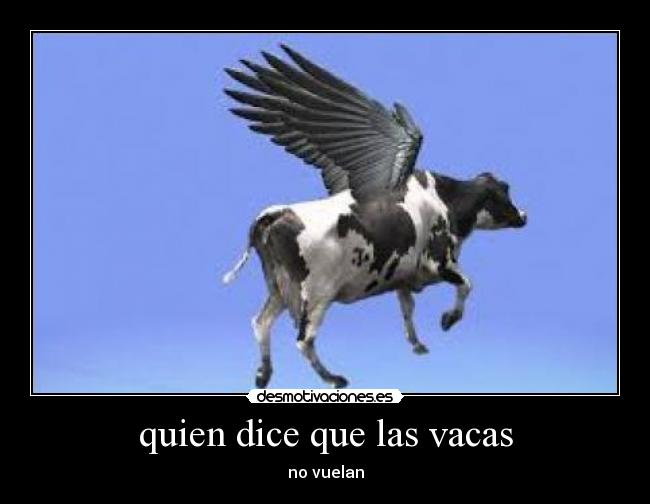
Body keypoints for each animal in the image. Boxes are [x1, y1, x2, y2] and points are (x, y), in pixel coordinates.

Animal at [221, 45, 527, 388]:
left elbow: (407, 309)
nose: (524, 215)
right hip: (317, 292)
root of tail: (274, 215)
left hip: (278, 286)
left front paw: (417, 344)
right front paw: (449, 320)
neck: (445, 201)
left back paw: (263, 375)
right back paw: (333, 378)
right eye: (505, 194)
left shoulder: (404, 274)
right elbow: (467, 285)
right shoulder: (440, 260)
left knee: (261, 323)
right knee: (303, 338)